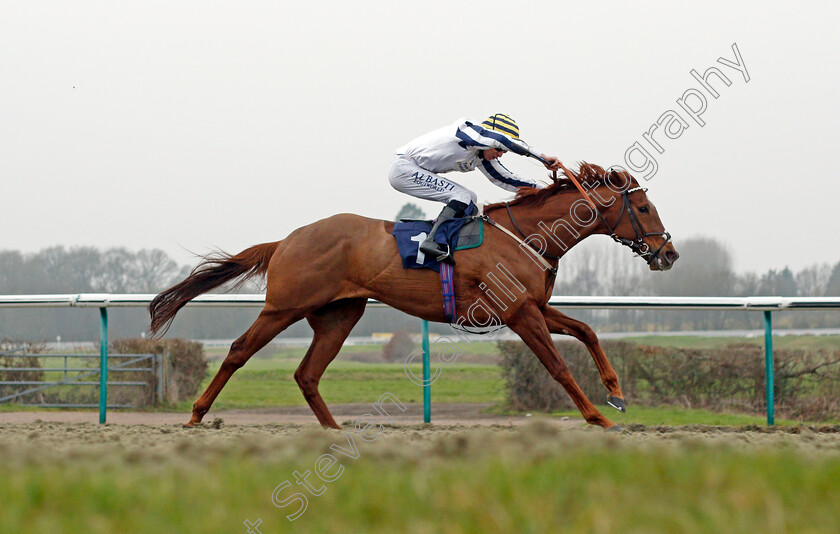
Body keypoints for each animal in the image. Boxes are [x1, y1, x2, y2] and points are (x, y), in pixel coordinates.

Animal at [149, 162, 676, 432]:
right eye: (643, 206)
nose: (667, 253)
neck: (528, 235)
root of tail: (287, 240)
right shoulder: (519, 312)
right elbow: (558, 366)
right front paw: (596, 417)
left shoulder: (535, 306)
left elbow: (586, 331)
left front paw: (616, 394)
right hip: (284, 306)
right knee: (239, 352)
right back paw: (196, 415)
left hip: (339, 315)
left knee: (307, 373)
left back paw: (334, 430)